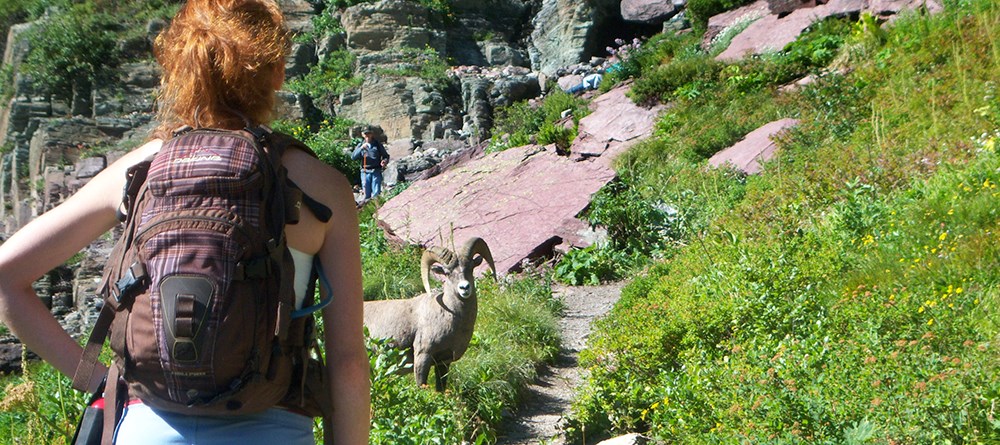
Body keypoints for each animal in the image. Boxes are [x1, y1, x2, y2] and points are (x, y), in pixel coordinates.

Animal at [364, 238, 496, 390]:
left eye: (471, 267)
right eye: (447, 272)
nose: (464, 288)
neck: (449, 314)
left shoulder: (443, 362)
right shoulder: (423, 357)